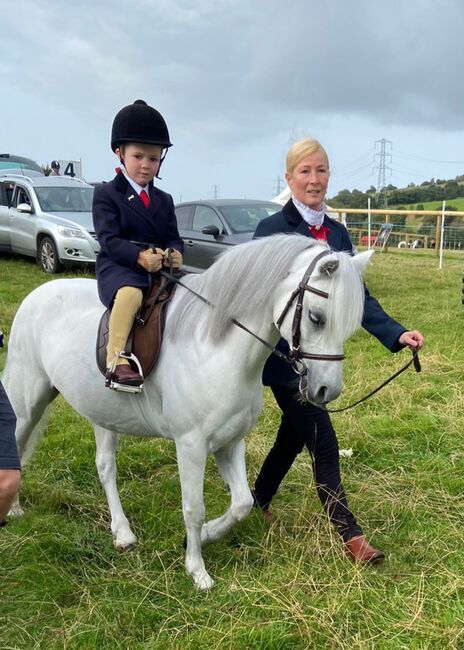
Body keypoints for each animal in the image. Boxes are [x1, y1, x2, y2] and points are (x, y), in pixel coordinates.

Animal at [0, 234, 370, 588]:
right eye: (316, 318)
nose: (327, 390)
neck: (216, 349)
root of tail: (38, 295)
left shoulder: (229, 442)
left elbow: (242, 503)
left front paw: (206, 536)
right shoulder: (190, 445)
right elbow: (193, 508)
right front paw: (197, 570)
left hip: (103, 413)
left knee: (105, 467)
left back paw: (123, 533)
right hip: (27, 403)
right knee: (16, 448)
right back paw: (15, 509)